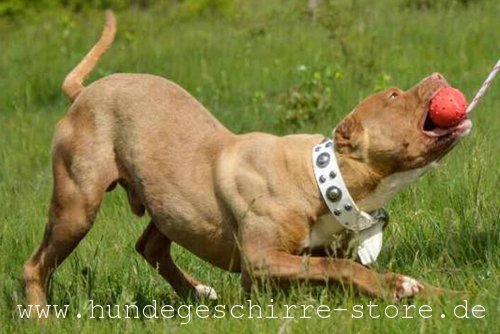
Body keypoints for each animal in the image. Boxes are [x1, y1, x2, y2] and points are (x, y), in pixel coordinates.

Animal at [23, 11, 470, 306]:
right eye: (394, 95)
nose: (439, 76)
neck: (324, 179)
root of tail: (83, 93)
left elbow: (349, 270)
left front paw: (443, 293)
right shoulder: (261, 260)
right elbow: (340, 270)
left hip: (169, 204)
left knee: (150, 246)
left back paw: (198, 294)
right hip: (77, 205)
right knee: (37, 265)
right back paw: (42, 316)